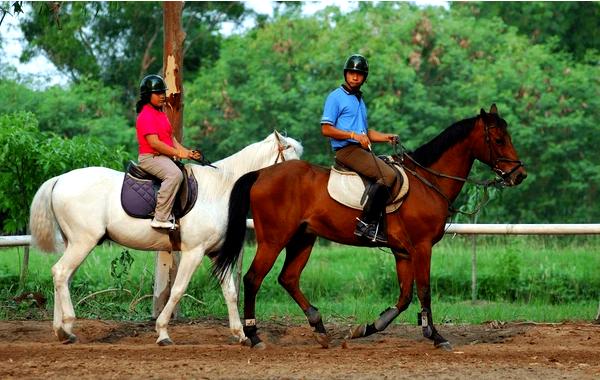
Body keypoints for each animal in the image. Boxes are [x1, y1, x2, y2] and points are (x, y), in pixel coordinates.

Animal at [28, 132, 302, 346]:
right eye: (291, 163)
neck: (220, 189)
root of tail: (60, 179)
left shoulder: (214, 253)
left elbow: (230, 292)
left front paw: (241, 335)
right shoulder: (193, 252)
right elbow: (178, 289)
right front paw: (162, 333)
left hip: (75, 243)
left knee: (62, 276)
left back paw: (62, 330)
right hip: (83, 242)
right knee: (61, 273)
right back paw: (66, 327)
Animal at [214, 104, 524, 350]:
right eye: (498, 139)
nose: (519, 175)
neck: (428, 182)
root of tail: (261, 173)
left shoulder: (403, 252)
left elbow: (404, 297)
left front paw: (365, 328)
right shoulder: (422, 247)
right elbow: (424, 290)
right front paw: (436, 336)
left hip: (303, 239)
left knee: (288, 278)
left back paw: (319, 329)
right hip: (274, 239)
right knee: (253, 278)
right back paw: (254, 336)